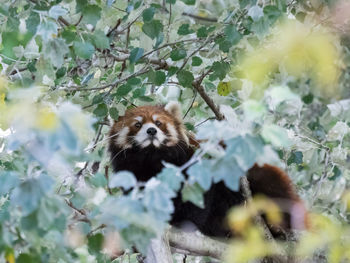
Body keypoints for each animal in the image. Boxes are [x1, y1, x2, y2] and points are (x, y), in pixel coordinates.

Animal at [107, 102, 306, 239]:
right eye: (138, 124)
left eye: (158, 123)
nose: (151, 131)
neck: (152, 158)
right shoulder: (133, 172)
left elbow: (199, 195)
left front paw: (183, 221)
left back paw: (277, 227)